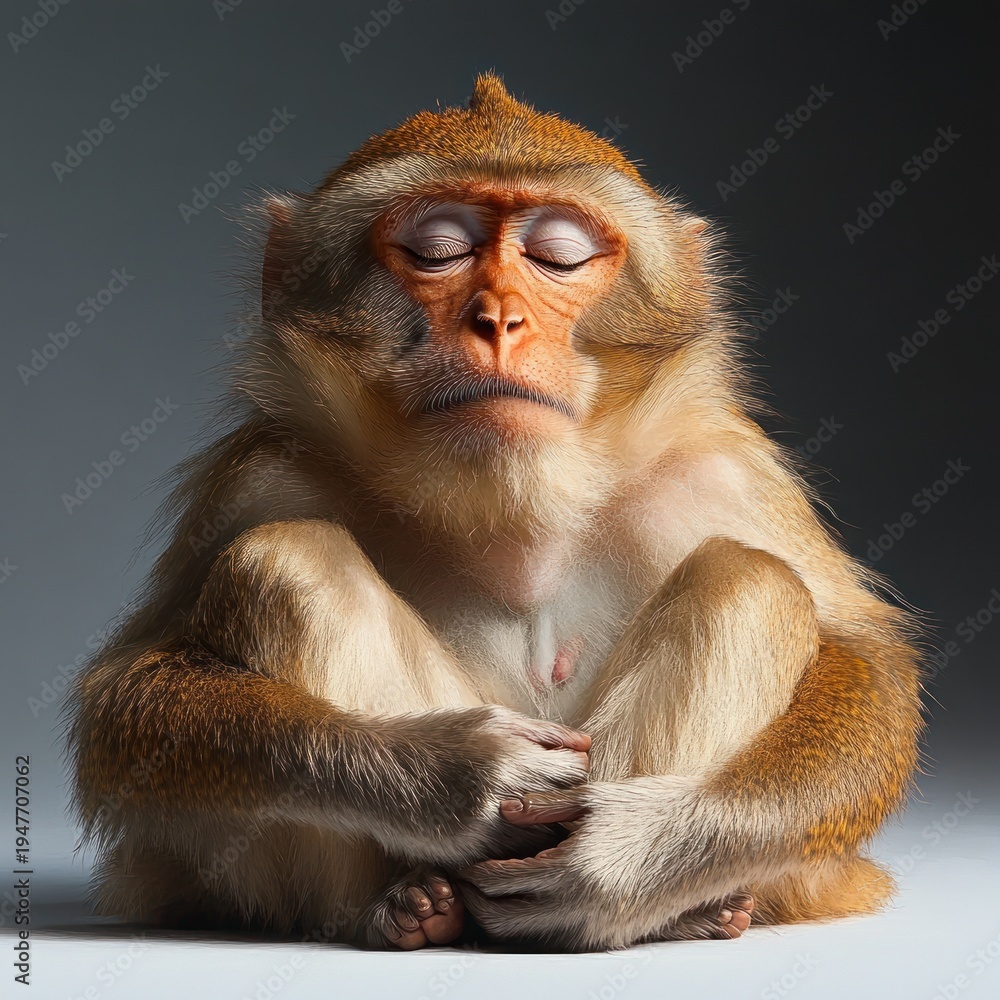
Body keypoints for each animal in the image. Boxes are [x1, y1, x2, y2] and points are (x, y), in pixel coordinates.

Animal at [67, 73, 924, 952]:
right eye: (439, 249)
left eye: (558, 255)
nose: (500, 319)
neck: (518, 502)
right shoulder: (263, 476)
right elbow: (125, 699)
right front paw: (448, 776)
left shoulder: (728, 473)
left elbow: (869, 662)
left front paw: (631, 853)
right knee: (288, 559)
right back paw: (410, 904)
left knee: (751, 578)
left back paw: (680, 908)